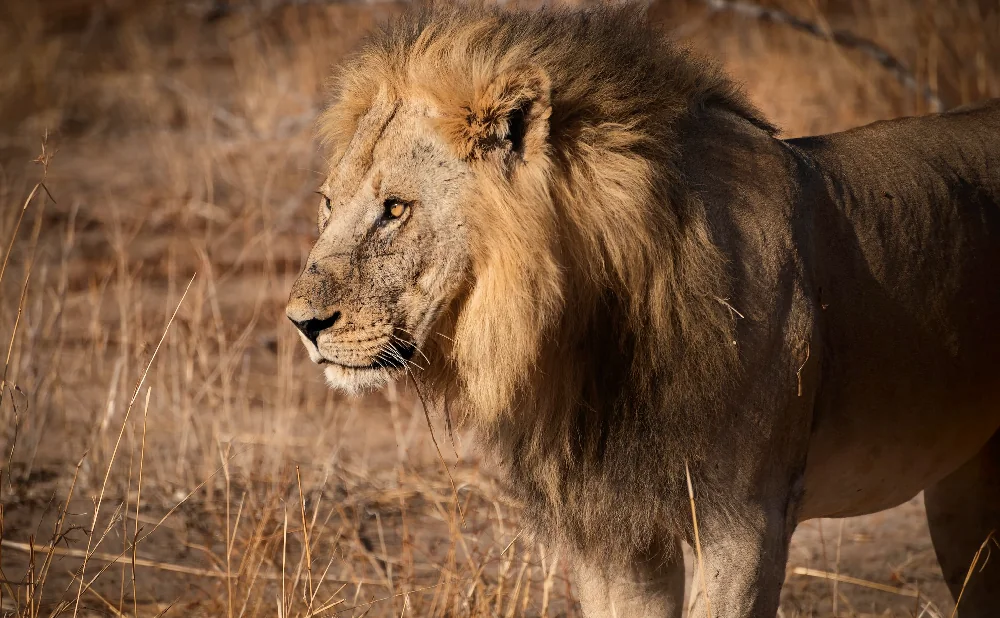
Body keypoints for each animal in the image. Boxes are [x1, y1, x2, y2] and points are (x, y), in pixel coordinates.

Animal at [284, 6, 1000, 616]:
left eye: (396, 209)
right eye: (328, 204)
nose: (301, 323)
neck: (591, 335)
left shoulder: (744, 522)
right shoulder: (612, 535)